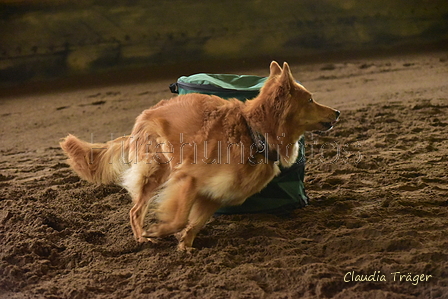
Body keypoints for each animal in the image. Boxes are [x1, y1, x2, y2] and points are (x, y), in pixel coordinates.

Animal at [60, 62, 340, 252]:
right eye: (310, 100)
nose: (337, 112)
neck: (254, 134)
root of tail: (143, 117)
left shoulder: (216, 193)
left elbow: (195, 223)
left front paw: (185, 245)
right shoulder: (189, 179)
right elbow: (181, 218)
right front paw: (161, 231)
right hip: (157, 169)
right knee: (134, 210)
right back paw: (142, 238)